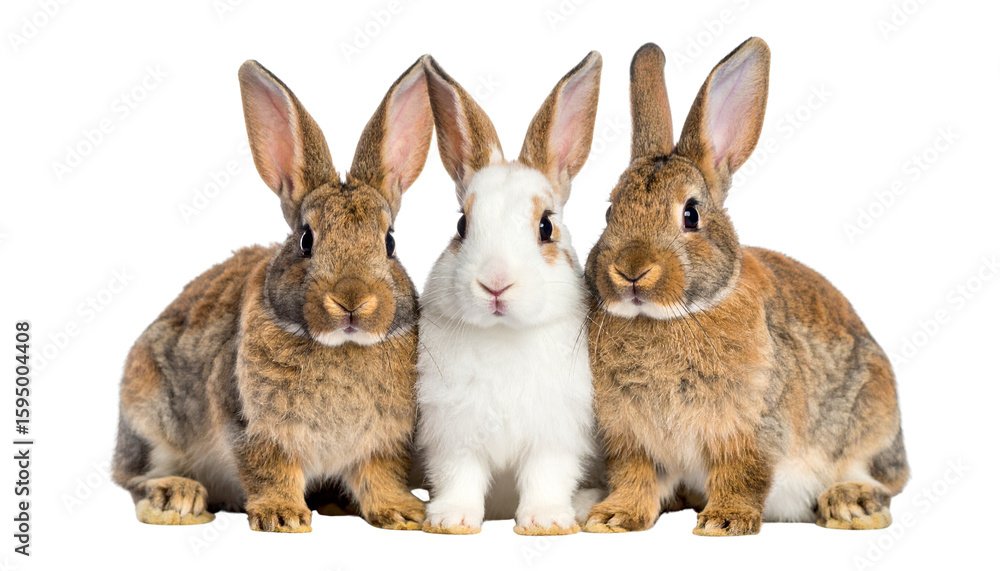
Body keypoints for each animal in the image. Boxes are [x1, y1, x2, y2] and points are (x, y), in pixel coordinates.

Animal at [111, 56, 435, 533]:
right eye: (306, 240)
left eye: (390, 242)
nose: (352, 301)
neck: (342, 346)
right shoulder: (252, 427)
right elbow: (269, 469)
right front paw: (283, 517)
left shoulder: (383, 442)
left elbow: (379, 475)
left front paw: (403, 513)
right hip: (147, 416)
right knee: (131, 478)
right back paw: (177, 498)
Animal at [414, 52, 603, 536]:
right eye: (462, 225)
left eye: (546, 226)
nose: (496, 283)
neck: (503, 335)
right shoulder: (453, 433)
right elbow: (459, 476)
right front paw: (451, 521)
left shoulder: (555, 434)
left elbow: (546, 475)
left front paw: (545, 522)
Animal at [583, 38, 908, 536]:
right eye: (609, 210)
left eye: (691, 214)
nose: (631, 271)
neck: (672, 316)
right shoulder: (630, 437)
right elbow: (635, 477)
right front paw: (613, 517)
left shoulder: (750, 429)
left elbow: (742, 474)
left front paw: (724, 522)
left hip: (870, 419)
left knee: (881, 480)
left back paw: (850, 505)